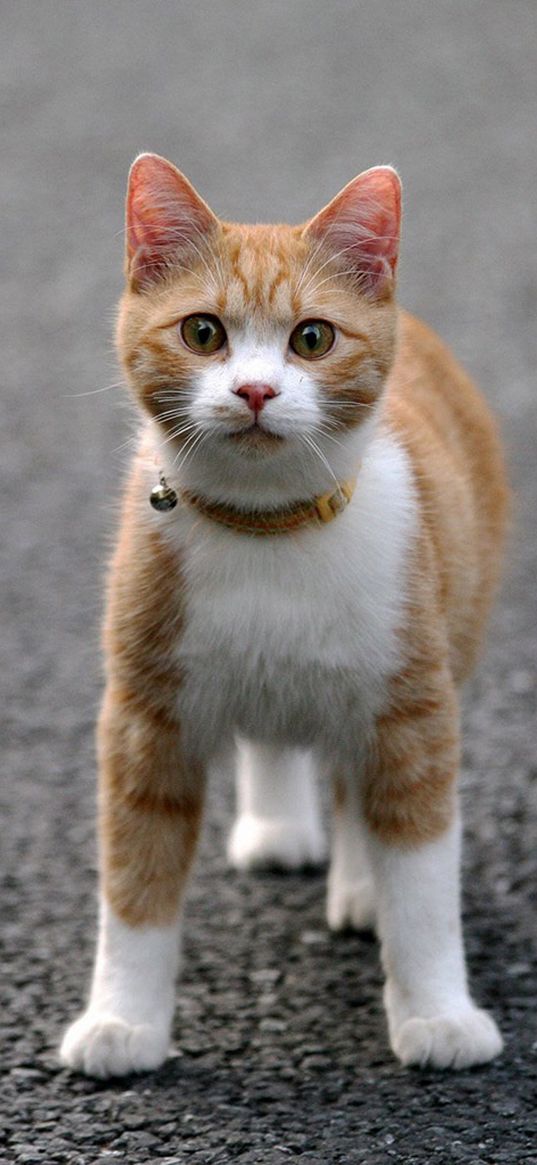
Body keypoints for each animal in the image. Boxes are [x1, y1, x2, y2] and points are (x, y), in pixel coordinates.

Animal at [58, 152, 505, 1071]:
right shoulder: (143, 717)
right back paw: (276, 823)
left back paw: (359, 882)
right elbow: (134, 880)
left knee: (355, 779)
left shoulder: (415, 706)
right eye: (202, 333)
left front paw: (439, 1014)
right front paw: (122, 1020)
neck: (268, 530)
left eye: (311, 338)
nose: (257, 389)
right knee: (274, 731)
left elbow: (422, 878)